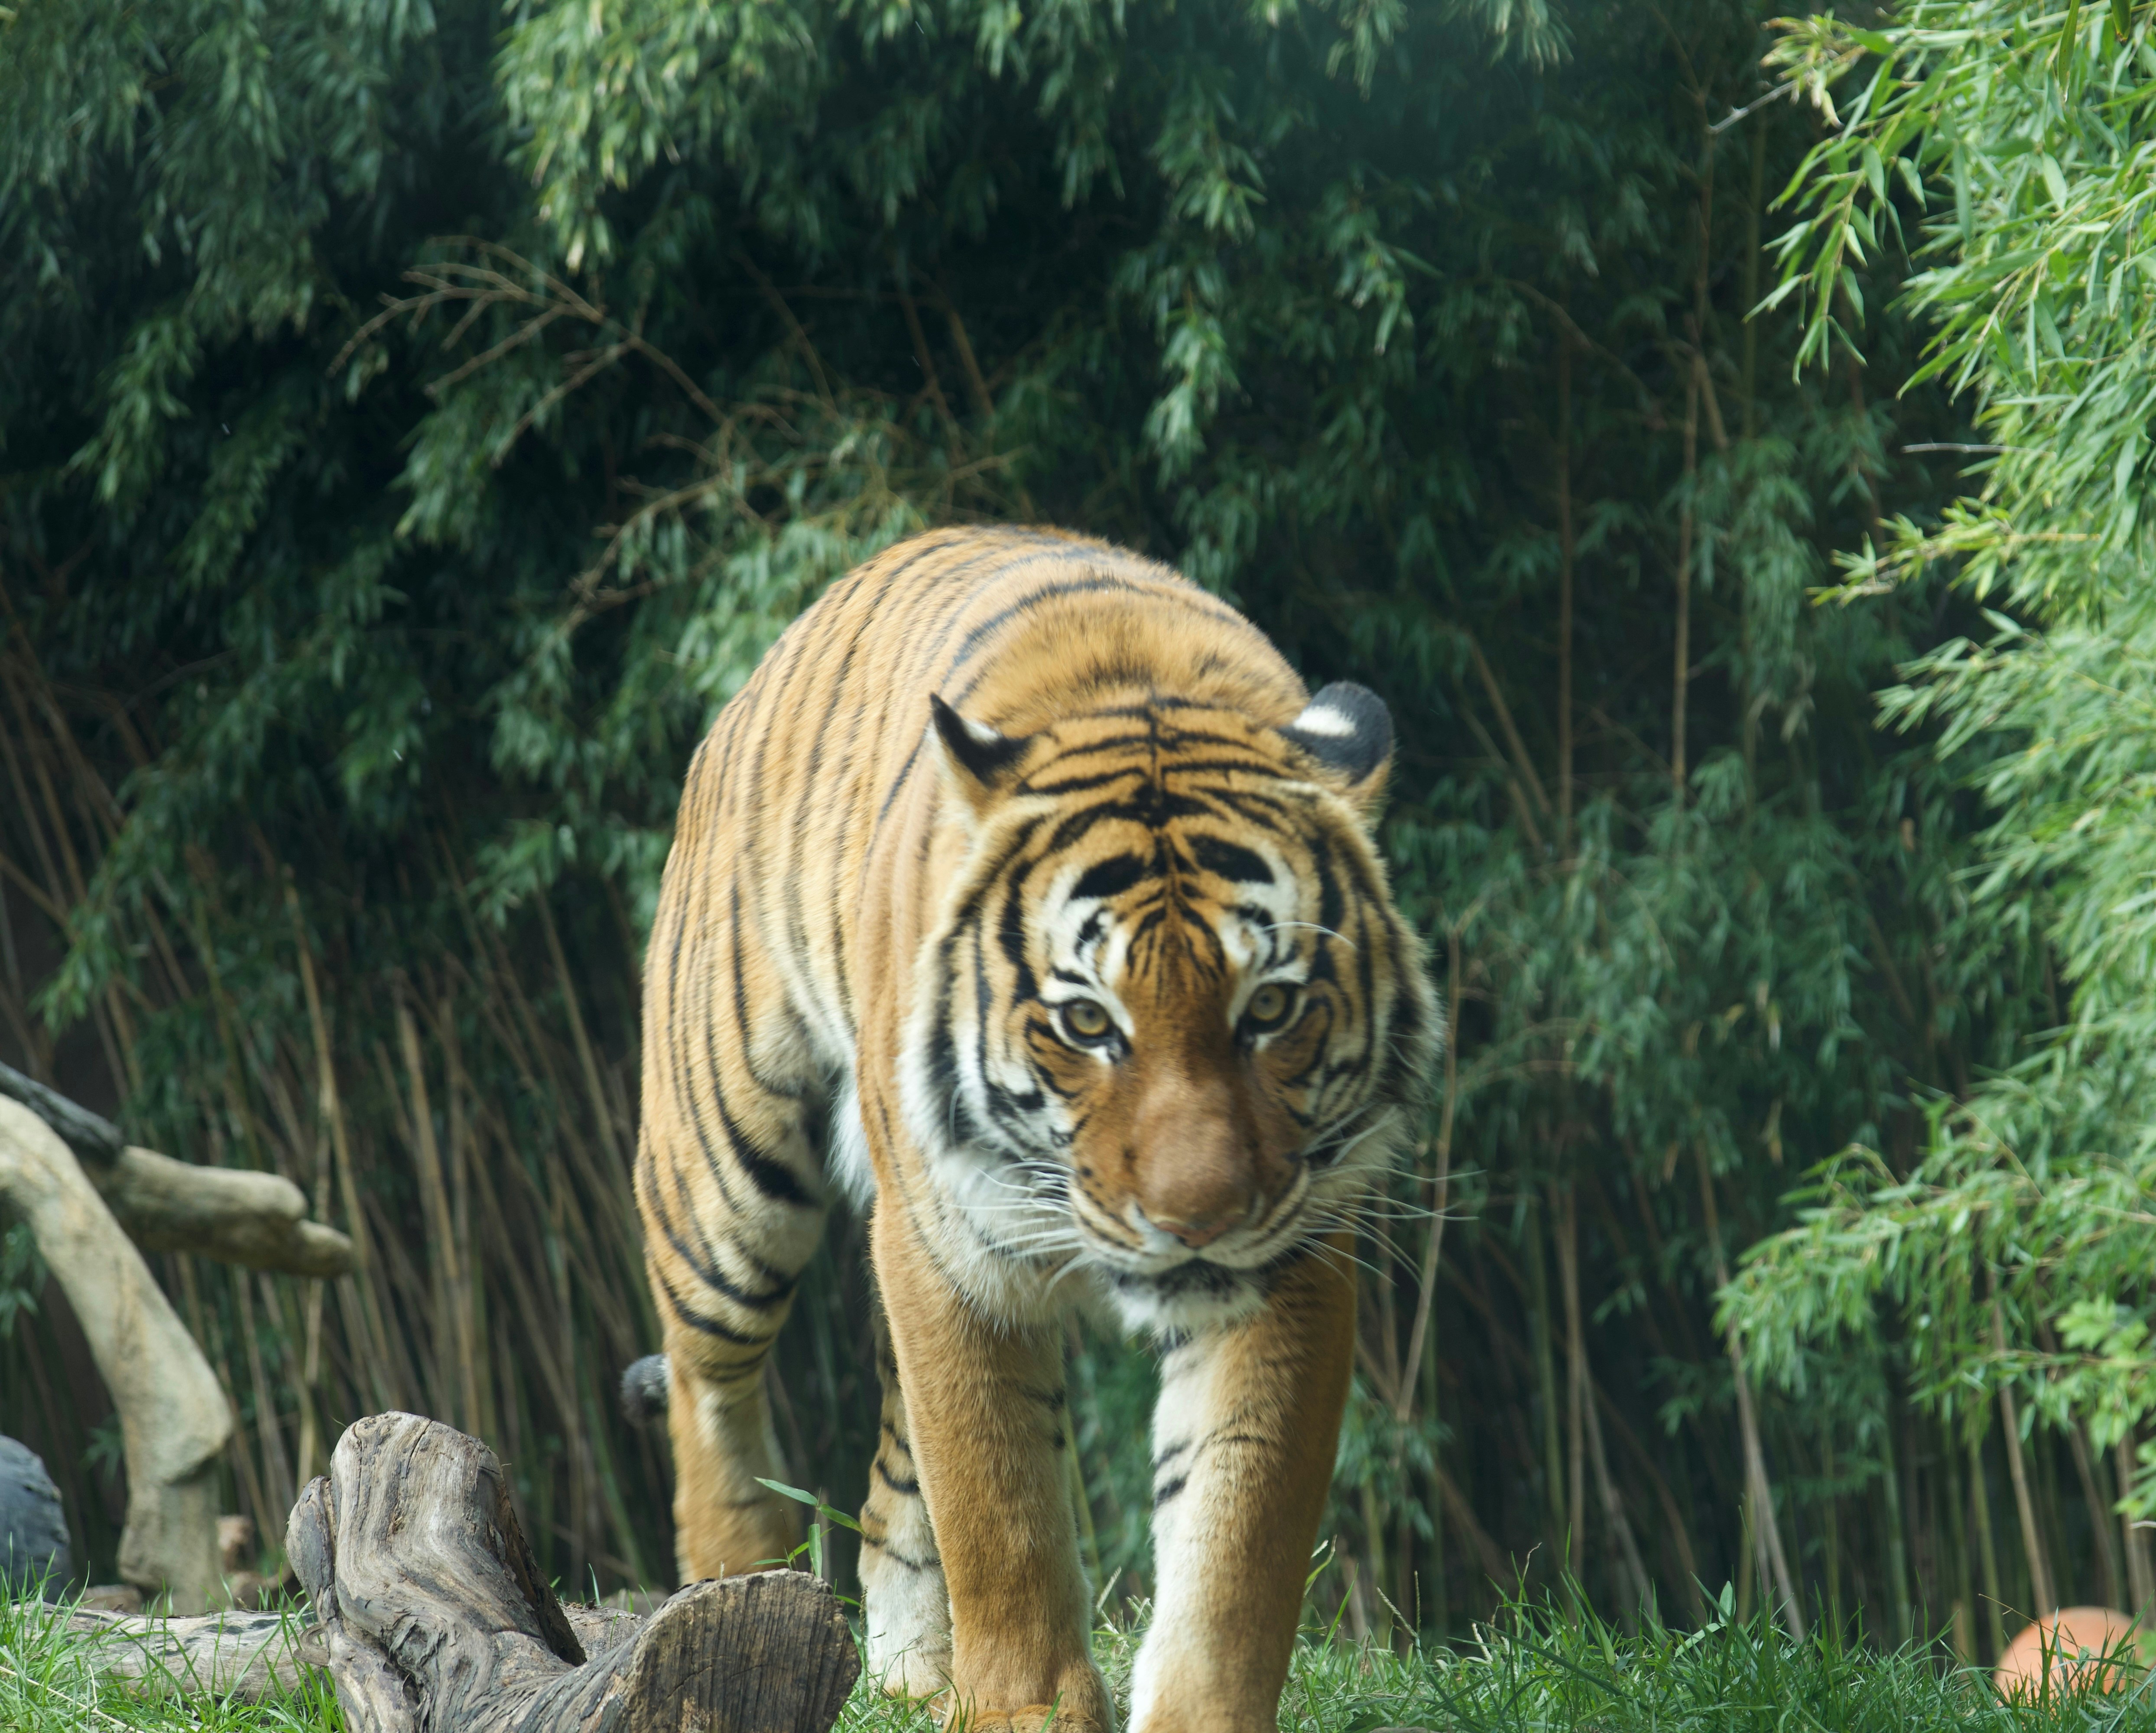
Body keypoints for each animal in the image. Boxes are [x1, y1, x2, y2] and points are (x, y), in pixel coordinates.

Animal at [634, 525, 1437, 1732]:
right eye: (1086, 1021)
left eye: (1269, 1008)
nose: (1195, 1219)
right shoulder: (944, 1247)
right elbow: (997, 1503)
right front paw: (1023, 1708)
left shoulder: (1293, 1261)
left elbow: (1235, 1535)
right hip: (727, 1181)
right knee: (708, 1390)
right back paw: (735, 1598)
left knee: (888, 1488)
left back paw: (910, 1676)